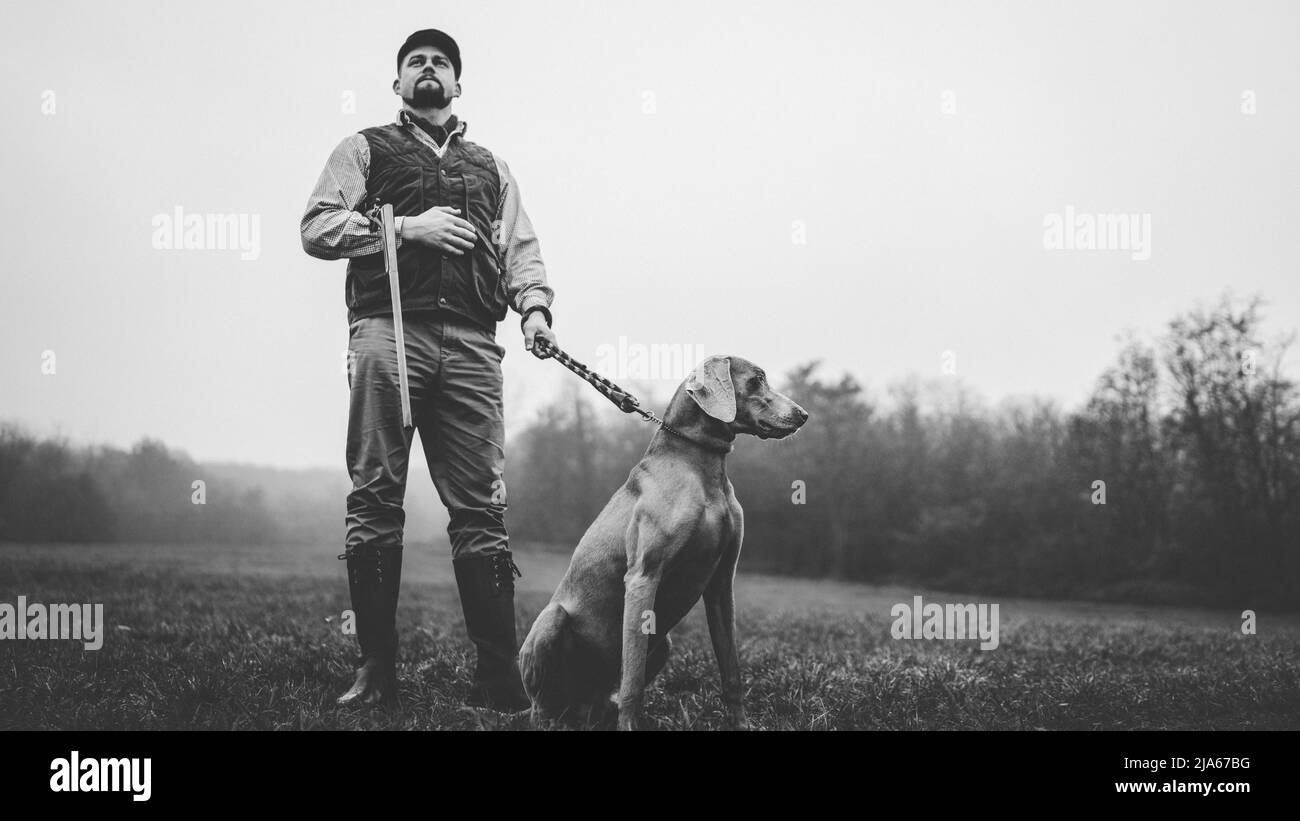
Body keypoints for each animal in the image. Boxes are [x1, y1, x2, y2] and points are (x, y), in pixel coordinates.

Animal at [520, 355, 806, 727]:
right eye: (757, 380)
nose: (803, 414)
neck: (701, 465)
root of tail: (581, 707)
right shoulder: (643, 576)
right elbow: (632, 683)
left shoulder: (721, 582)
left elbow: (731, 671)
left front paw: (741, 724)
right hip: (552, 621)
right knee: (543, 705)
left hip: (664, 644)